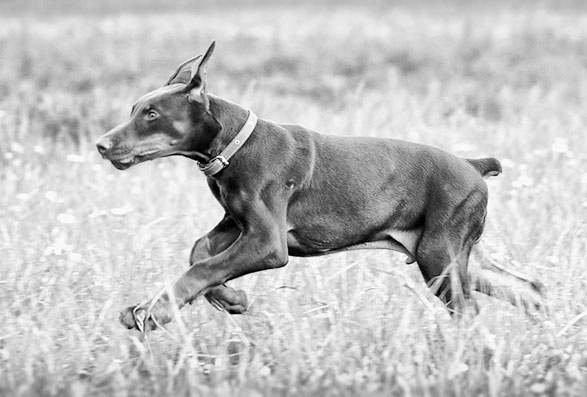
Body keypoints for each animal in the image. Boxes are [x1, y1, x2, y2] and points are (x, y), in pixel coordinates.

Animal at [94, 41, 544, 332]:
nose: (101, 145)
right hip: (455, 252)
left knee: (470, 313)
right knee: (530, 288)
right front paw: (232, 300)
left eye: (151, 114)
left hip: (439, 255)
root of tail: (473, 166)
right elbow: (200, 252)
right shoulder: (237, 223)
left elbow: (201, 267)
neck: (236, 145)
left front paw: (153, 312)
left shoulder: (268, 242)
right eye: (135, 109)